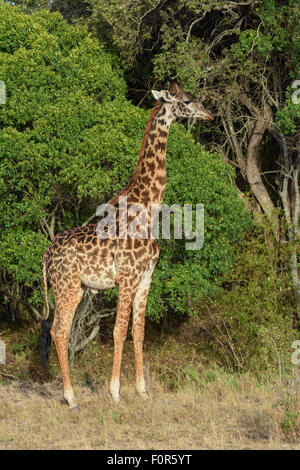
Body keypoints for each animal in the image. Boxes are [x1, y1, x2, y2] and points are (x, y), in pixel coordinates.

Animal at [39, 80, 213, 408]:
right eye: (186, 100)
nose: (208, 114)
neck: (149, 207)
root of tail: (45, 256)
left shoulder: (146, 278)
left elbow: (139, 332)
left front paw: (143, 391)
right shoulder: (127, 278)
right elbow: (119, 331)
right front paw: (116, 392)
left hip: (74, 287)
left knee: (60, 331)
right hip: (68, 286)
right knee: (59, 331)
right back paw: (71, 398)